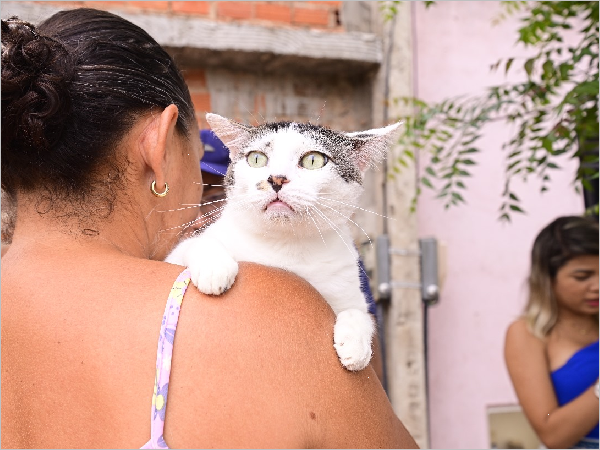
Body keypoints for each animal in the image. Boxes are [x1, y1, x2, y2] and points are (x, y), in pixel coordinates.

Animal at [166, 111, 400, 370]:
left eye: (313, 160)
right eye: (256, 158)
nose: (277, 179)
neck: (285, 245)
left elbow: (359, 312)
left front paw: (355, 345)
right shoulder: (178, 254)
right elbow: (195, 243)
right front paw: (214, 269)